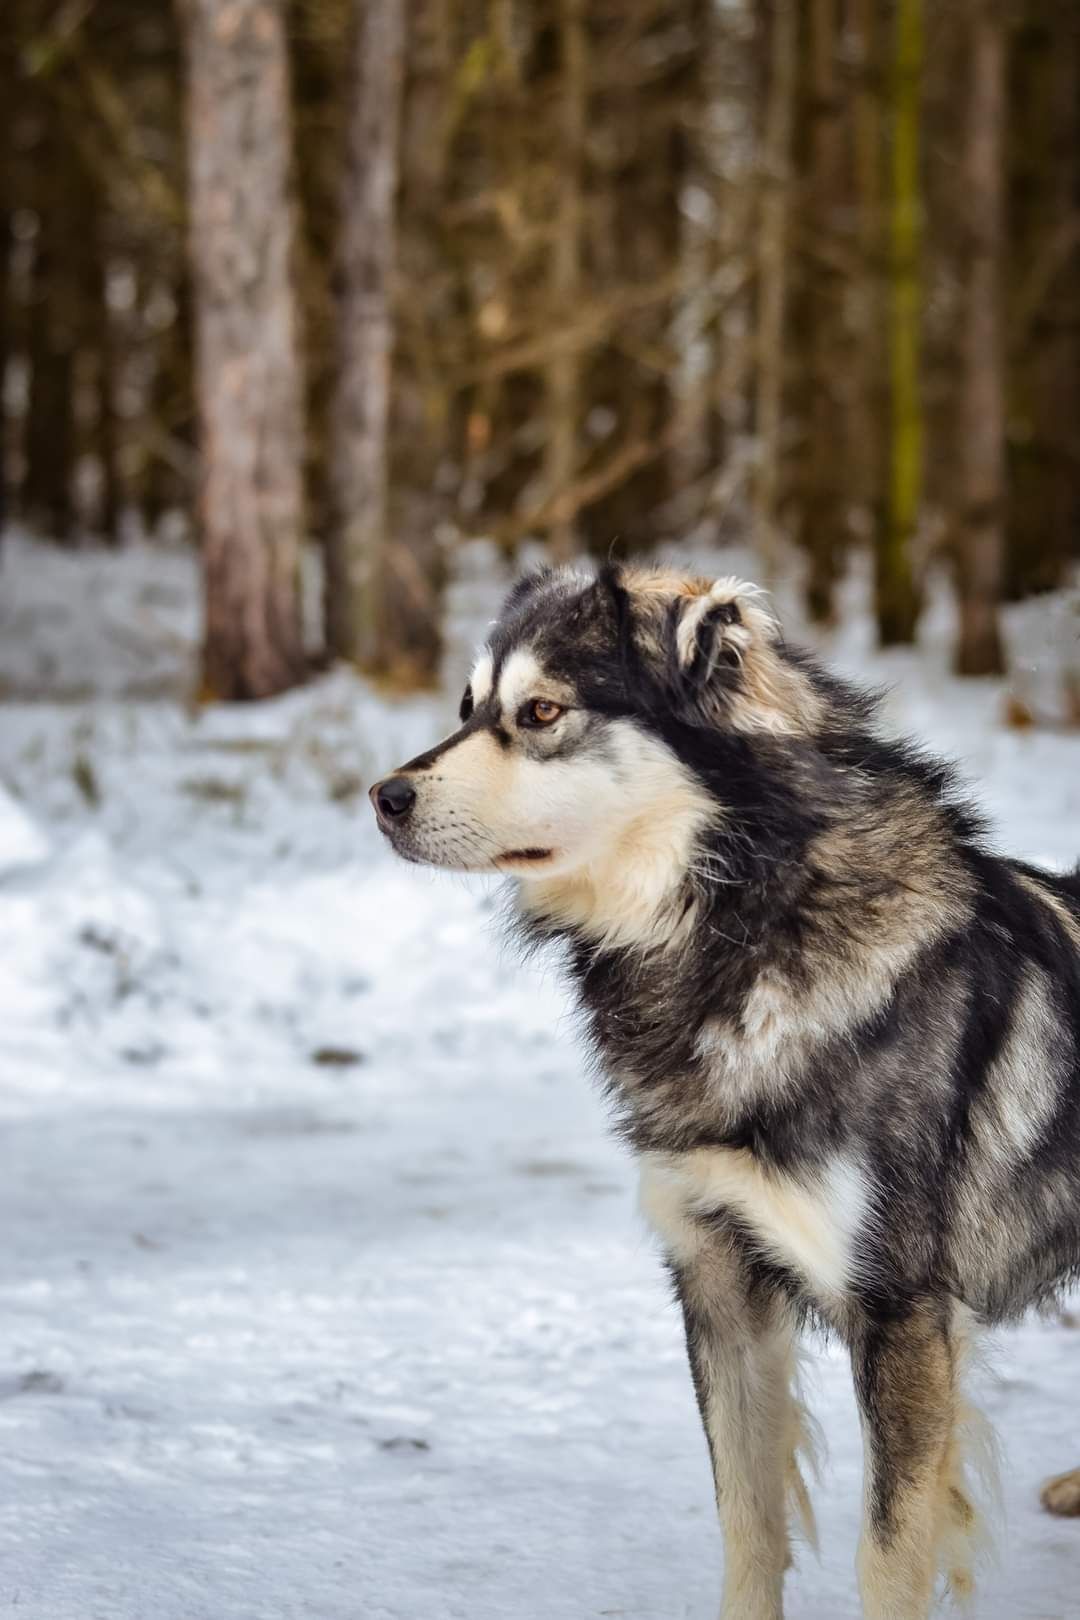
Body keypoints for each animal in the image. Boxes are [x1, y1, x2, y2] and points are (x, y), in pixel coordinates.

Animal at [369, 567, 1080, 1620]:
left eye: (540, 713)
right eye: (469, 709)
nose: (383, 797)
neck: (740, 924)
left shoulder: (900, 1315)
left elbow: (887, 1556)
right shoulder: (716, 1277)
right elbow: (747, 1525)